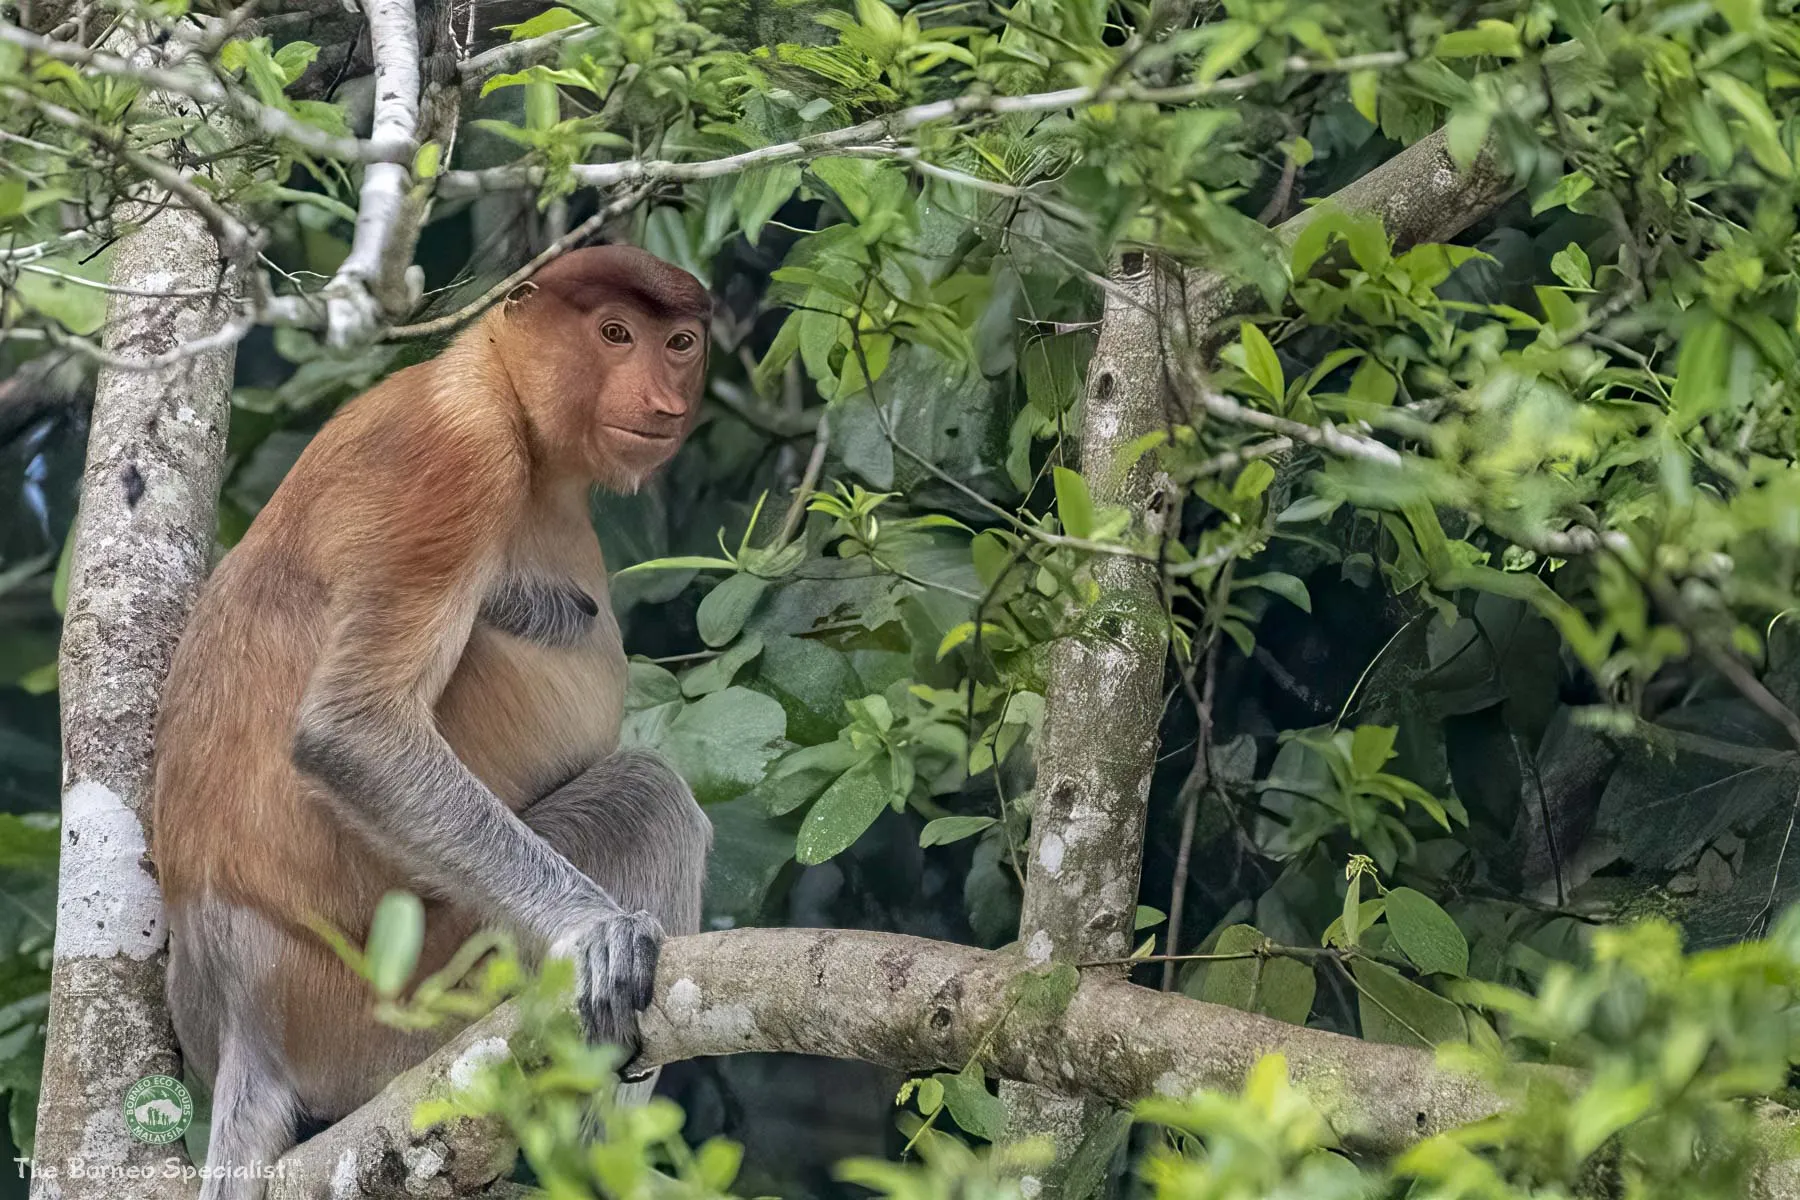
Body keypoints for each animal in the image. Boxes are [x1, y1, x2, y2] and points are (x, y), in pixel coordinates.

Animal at [150, 244, 715, 1198]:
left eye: (679, 343)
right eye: (613, 333)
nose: (663, 401)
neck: (502, 391)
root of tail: (243, 1016)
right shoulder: (455, 455)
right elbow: (353, 731)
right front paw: (597, 934)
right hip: (404, 991)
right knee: (648, 797)